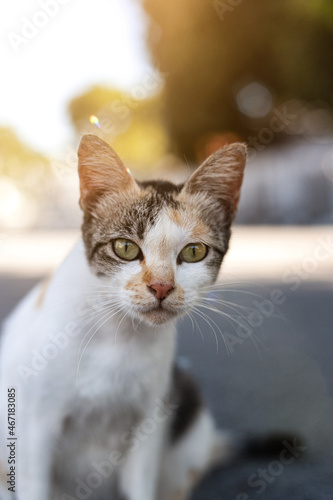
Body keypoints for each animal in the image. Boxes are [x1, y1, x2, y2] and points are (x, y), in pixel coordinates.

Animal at [0, 134, 246, 500]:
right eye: (125, 248)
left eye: (194, 252)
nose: (161, 286)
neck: (119, 335)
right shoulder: (34, 424)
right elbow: (34, 483)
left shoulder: (149, 422)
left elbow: (140, 485)